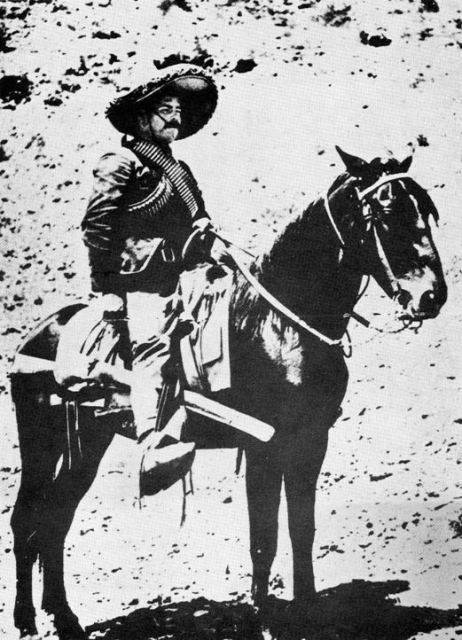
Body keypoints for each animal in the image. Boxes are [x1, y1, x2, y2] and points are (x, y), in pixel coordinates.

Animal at [10, 147, 447, 639]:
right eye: (385, 211)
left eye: (426, 211)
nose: (432, 296)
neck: (281, 323)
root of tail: (38, 335)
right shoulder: (264, 446)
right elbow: (263, 537)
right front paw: (265, 620)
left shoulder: (311, 442)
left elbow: (301, 529)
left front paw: (308, 610)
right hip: (43, 444)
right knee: (27, 520)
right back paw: (29, 619)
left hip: (85, 446)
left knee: (54, 520)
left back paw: (63, 617)